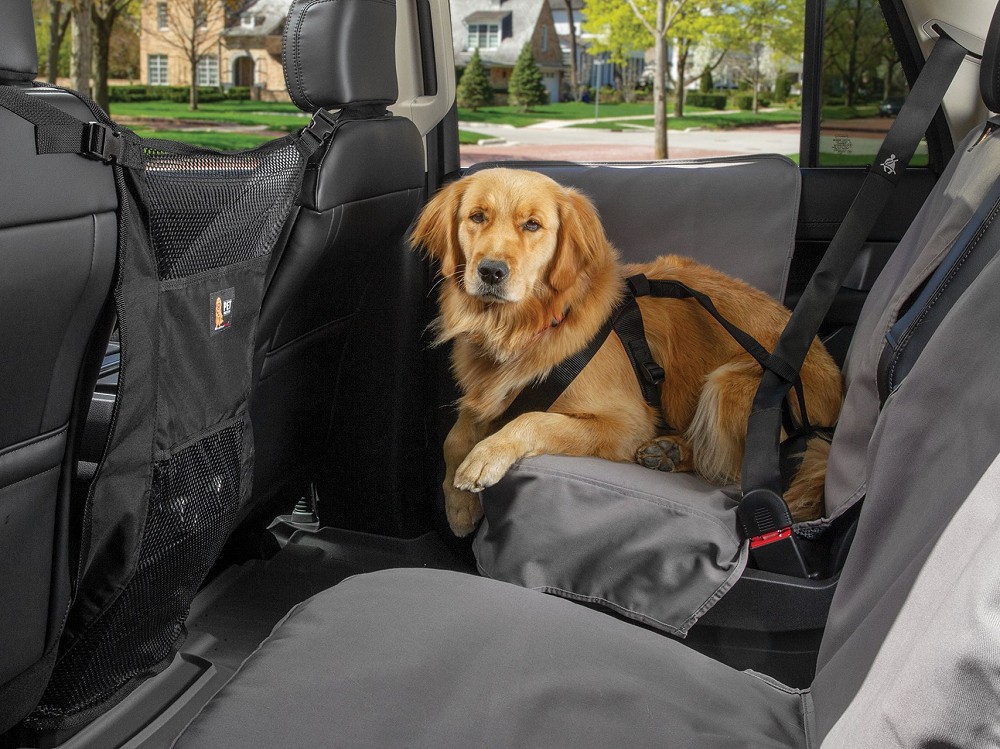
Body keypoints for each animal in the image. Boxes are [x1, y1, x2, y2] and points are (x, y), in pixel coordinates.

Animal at [414, 167, 844, 536]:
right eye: (477, 217)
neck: (529, 325)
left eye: (532, 225)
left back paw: (672, 452)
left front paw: (487, 454)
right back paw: (668, 451)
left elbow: (533, 418)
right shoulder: (487, 393)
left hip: (730, 384)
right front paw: (458, 505)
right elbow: (454, 437)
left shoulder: (625, 422)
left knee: (729, 469)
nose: (490, 271)